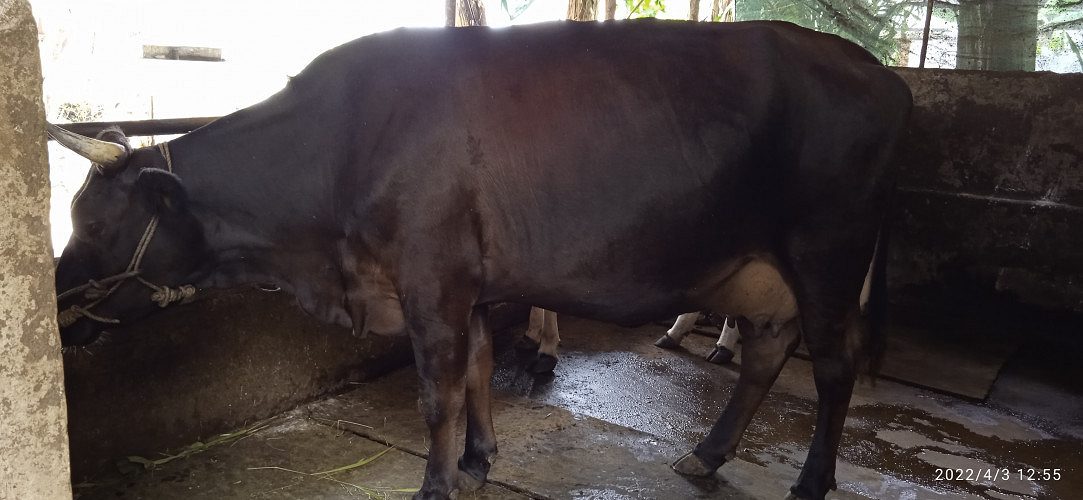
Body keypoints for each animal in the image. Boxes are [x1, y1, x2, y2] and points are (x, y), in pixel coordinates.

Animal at [51, 20, 910, 500]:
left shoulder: (431, 277)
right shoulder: (463, 283)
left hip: (827, 252)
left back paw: (810, 481)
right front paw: (477, 461)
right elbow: (476, 371)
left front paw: (434, 484)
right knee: (765, 355)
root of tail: (872, 68)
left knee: (832, 367)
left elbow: (437, 391)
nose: (56, 305)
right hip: (765, 271)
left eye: (93, 224)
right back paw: (705, 453)